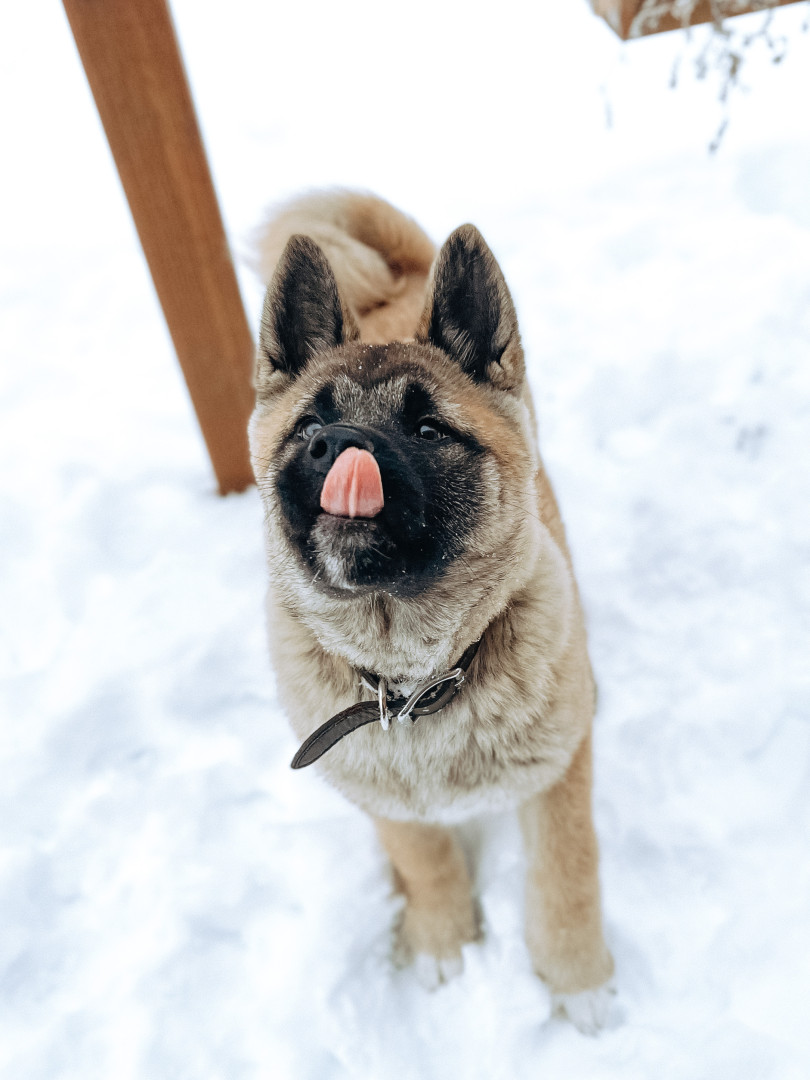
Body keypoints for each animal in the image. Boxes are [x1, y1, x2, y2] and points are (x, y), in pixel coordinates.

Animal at [248, 190, 615, 1033]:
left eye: (426, 429)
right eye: (307, 427)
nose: (338, 445)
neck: (417, 682)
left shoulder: (559, 770)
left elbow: (566, 871)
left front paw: (578, 980)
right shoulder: (385, 797)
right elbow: (426, 860)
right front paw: (444, 942)